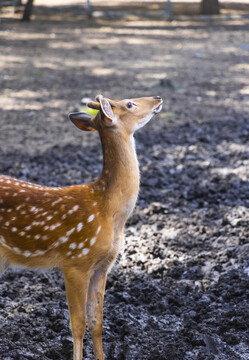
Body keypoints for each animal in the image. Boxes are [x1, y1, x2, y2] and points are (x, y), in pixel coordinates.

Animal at [0, 94, 163, 358]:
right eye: (129, 103)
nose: (158, 98)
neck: (108, 211)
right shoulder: (75, 261)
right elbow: (78, 324)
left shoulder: (102, 266)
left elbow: (97, 321)